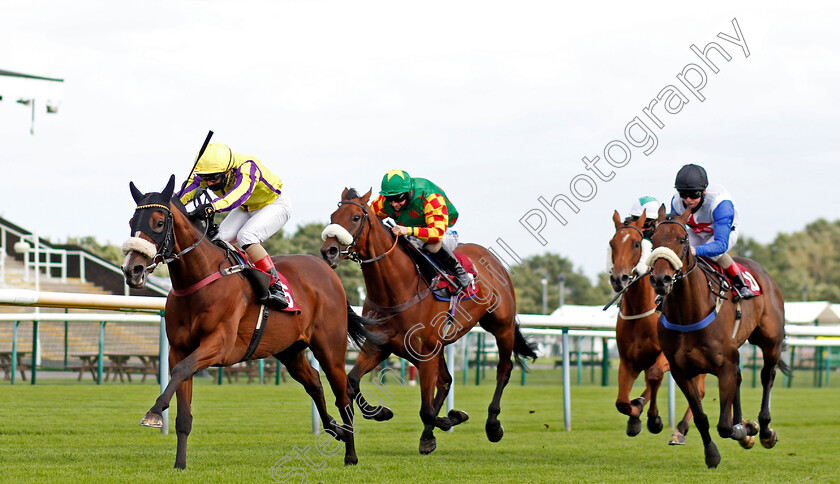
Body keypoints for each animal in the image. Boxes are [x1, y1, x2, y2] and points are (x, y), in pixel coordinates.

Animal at [121, 177, 378, 468]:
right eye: (132, 221)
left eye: (159, 222)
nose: (132, 270)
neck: (199, 278)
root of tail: (329, 273)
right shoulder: (178, 349)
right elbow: (182, 407)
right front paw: (180, 464)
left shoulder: (219, 345)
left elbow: (180, 370)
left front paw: (153, 412)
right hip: (289, 350)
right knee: (313, 382)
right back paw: (335, 429)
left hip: (330, 349)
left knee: (343, 394)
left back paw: (350, 453)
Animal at [318, 188, 536, 454]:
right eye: (333, 216)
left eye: (356, 217)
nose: (328, 251)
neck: (397, 289)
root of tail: (493, 260)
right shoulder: (380, 345)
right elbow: (352, 381)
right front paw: (380, 412)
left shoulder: (426, 349)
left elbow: (427, 410)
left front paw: (451, 418)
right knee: (445, 380)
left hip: (501, 327)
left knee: (503, 370)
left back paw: (493, 425)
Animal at [612, 210, 704, 444]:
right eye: (612, 243)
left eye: (636, 244)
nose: (618, 278)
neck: (640, 311)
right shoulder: (628, 360)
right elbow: (622, 401)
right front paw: (635, 416)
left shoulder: (665, 356)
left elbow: (653, 376)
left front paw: (654, 420)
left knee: (698, 391)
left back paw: (680, 429)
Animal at [648, 205, 788, 468]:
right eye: (653, 240)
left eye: (682, 240)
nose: (661, 280)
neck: (689, 314)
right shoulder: (682, 371)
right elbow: (701, 416)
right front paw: (712, 453)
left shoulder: (725, 366)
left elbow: (723, 426)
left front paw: (745, 430)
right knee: (742, 378)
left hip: (770, 341)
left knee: (767, 376)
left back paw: (765, 430)